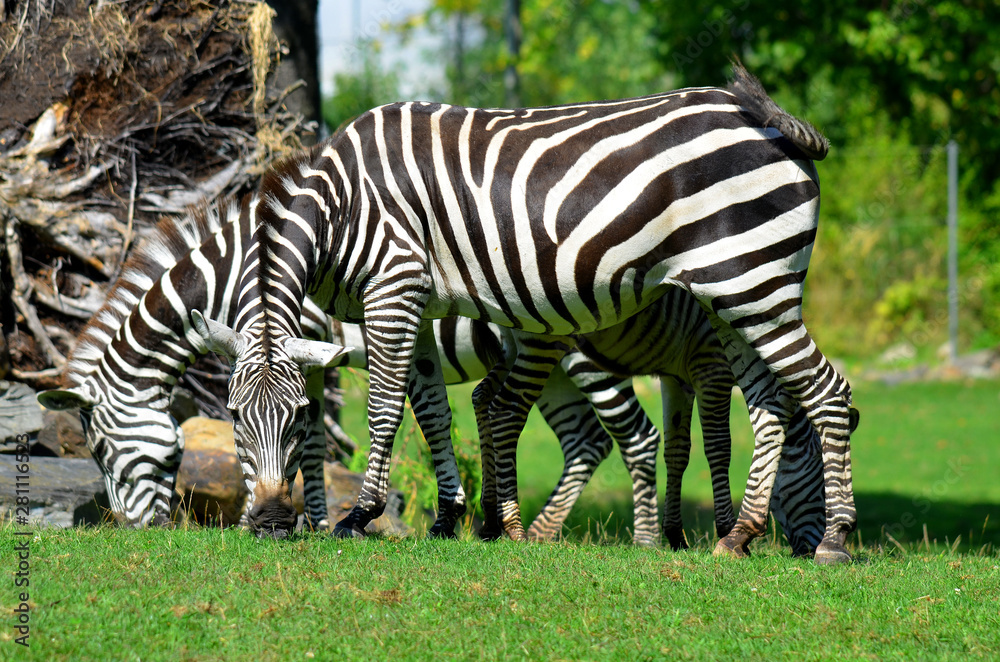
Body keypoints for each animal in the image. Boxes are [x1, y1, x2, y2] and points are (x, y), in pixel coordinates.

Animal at [195, 62, 856, 563]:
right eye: (234, 417)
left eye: (298, 418)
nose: (270, 523)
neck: (341, 209)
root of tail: (774, 124)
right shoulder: (420, 304)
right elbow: (433, 412)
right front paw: (448, 518)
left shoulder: (394, 286)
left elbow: (385, 409)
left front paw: (358, 515)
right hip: (731, 297)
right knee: (770, 407)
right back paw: (738, 536)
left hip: (755, 283)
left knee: (828, 391)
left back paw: (834, 541)